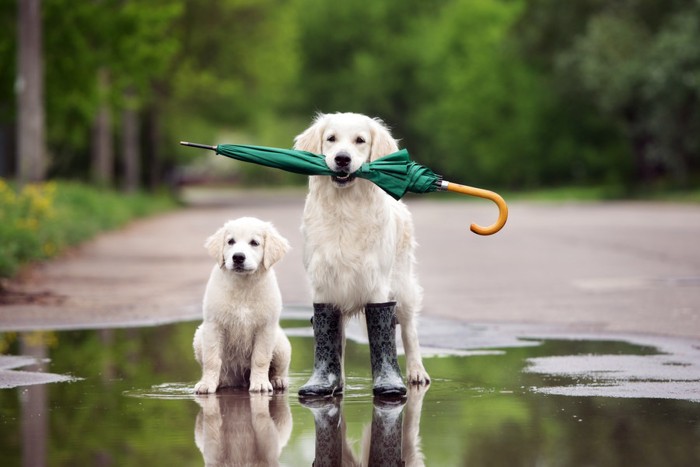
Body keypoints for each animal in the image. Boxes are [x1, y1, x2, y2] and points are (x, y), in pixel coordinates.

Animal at [193, 218, 292, 394]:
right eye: (230, 241)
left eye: (254, 243)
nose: (238, 257)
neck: (243, 286)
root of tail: (238, 382)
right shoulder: (213, 325)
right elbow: (211, 359)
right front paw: (207, 384)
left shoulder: (265, 327)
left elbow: (260, 358)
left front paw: (260, 384)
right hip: (199, 336)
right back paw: (220, 382)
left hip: (281, 345)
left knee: (279, 368)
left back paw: (278, 380)